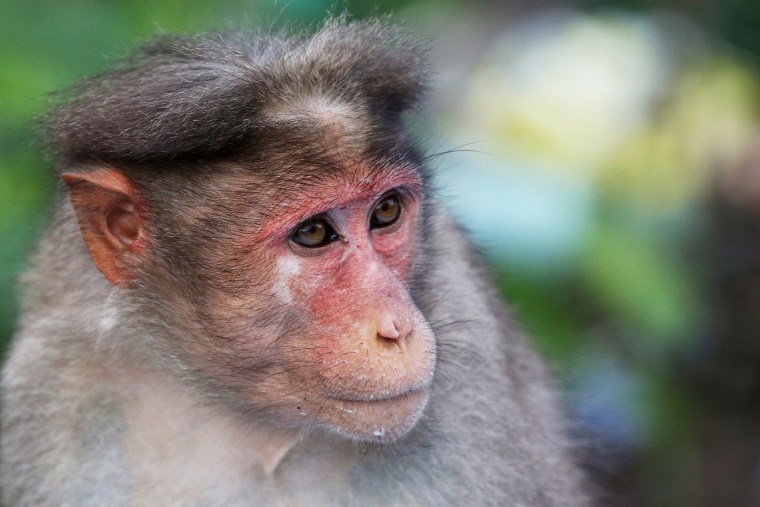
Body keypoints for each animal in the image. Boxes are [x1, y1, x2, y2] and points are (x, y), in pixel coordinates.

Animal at [1, 19, 588, 507]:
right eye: (314, 233)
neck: (251, 425)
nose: (397, 328)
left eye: (386, 212)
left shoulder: (471, 376)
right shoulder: (56, 390)